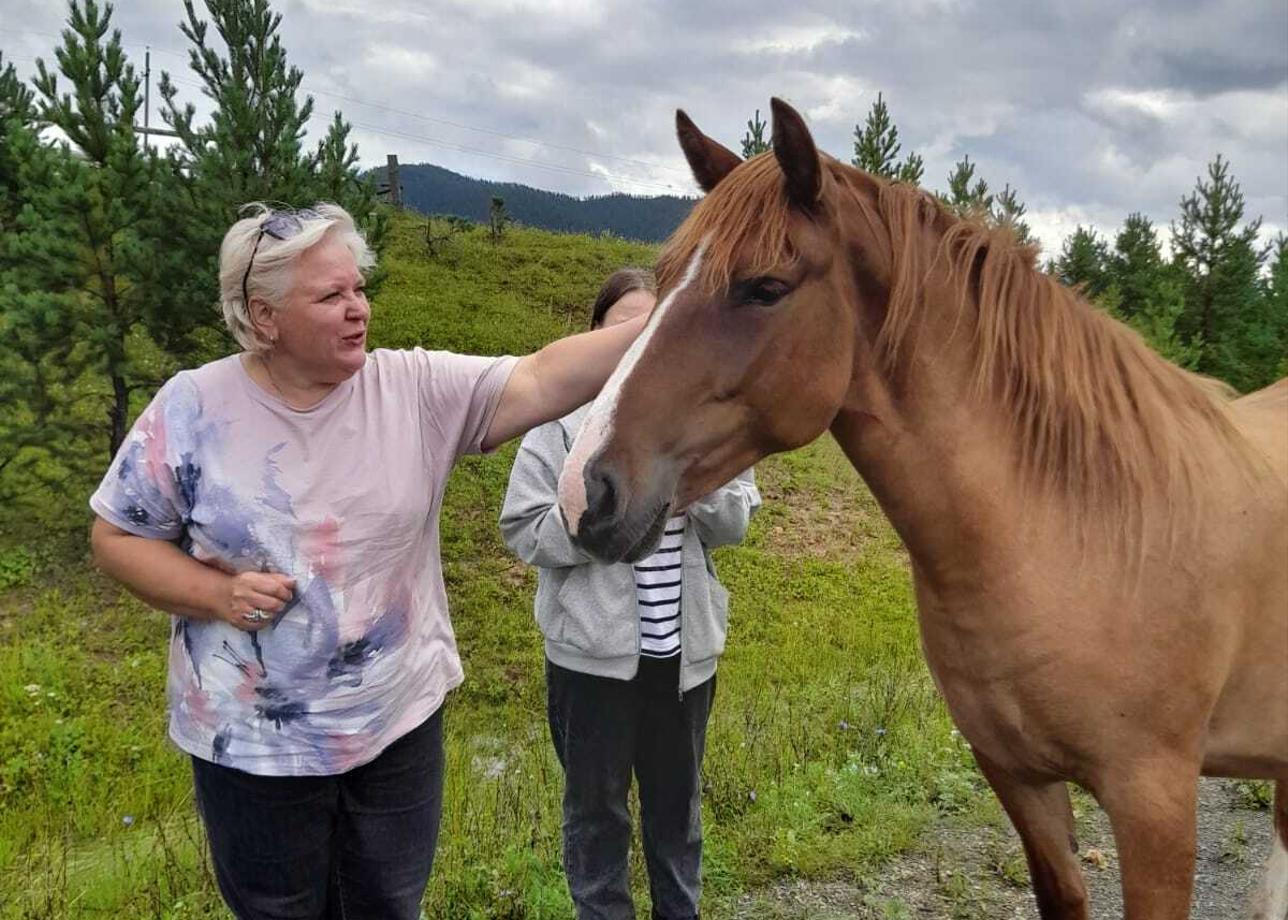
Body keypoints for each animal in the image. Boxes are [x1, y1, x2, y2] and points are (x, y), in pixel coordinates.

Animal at [561, 96, 1288, 912]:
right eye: (663, 278)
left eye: (765, 287)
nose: (584, 487)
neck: (1085, 532)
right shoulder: (1020, 782)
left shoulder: (1155, 805)